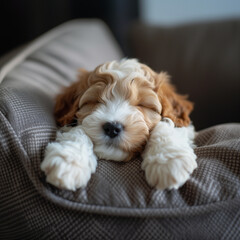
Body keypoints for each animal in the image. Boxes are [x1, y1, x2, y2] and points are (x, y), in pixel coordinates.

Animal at [40, 58, 197, 191]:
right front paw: (68, 161)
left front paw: (168, 162)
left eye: (142, 105)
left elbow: (166, 126)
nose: (112, 128)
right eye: (95, 101)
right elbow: (77, 130)